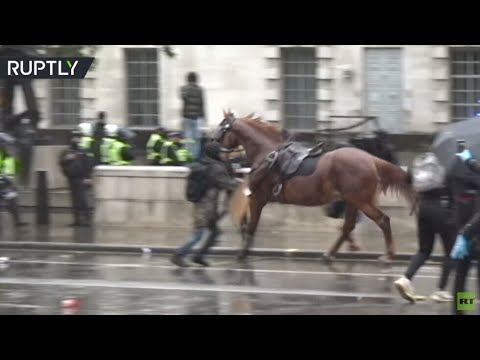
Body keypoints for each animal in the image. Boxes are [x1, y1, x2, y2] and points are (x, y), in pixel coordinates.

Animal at [214, 110, 416, 262]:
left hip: (360, 200)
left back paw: (388, 255)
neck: (267, 154)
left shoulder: (257, 198)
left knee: (382, 220)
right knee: (348, 226)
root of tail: (371, 160)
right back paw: (331, 253)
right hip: (353, 200)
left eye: (222, 128)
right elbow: (248, 224)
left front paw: (242, 253)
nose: (217, 150)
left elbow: (251, 226)